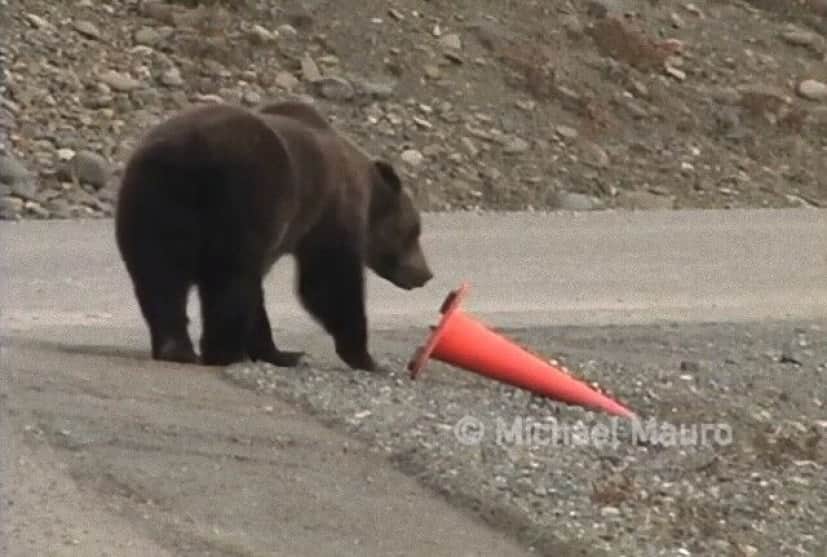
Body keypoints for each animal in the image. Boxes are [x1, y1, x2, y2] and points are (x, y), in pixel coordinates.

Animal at [115, 99, 434, 374]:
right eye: (414, 231)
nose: (426, 273)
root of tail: (187, 155)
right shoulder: (328, 214)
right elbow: (328, 282)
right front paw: (365, 357)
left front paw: (277, 352)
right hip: (241, 199)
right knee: (227, 280)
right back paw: (225, 352)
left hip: (153, 203)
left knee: (159, 277)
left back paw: (176, 348)